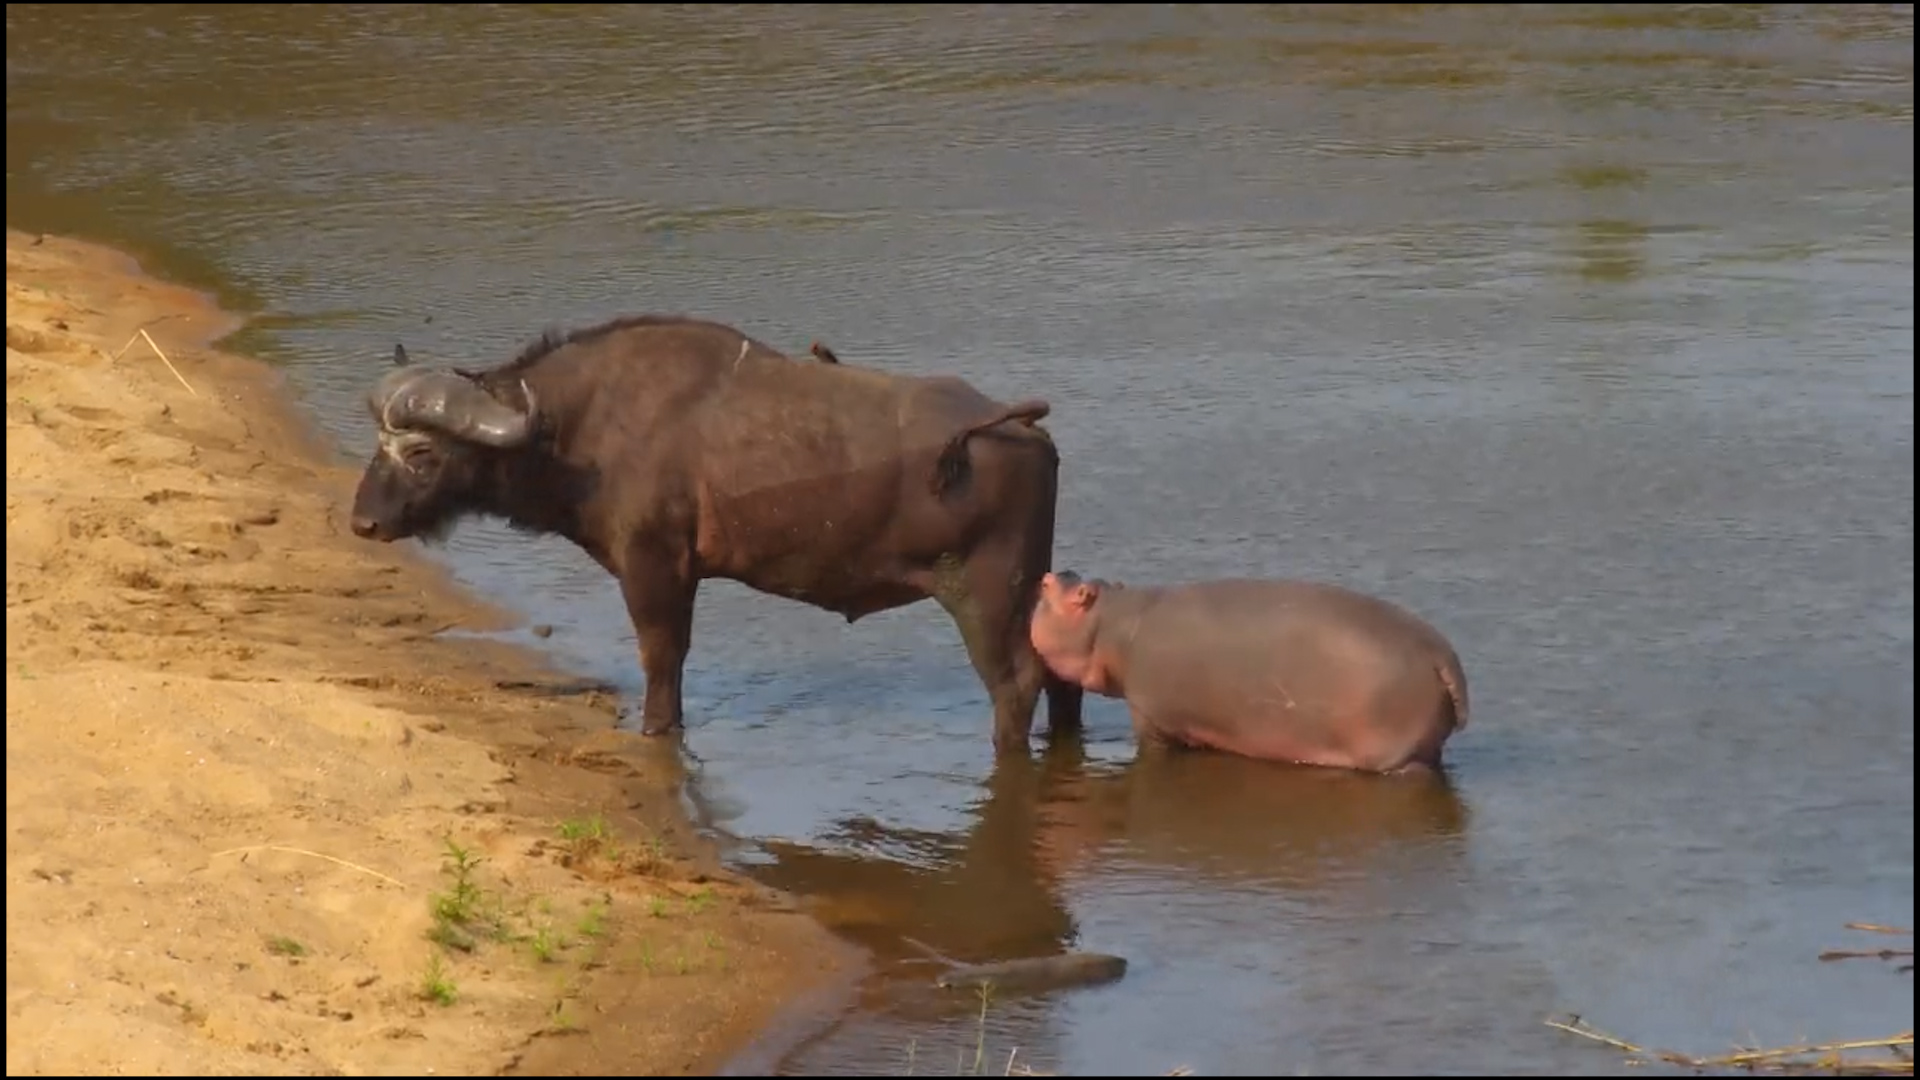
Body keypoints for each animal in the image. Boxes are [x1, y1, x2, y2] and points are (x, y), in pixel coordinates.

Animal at [348, 314, 1084, 754]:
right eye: (378, 442)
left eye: (422, 453)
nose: (362, 521)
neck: (583, 424)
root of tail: (1018, 427)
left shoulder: (654, 566)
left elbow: (661, 658)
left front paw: (656, 730)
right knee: (1060, 673)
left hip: (985, 597)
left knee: (1017, 682)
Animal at [1027, 570, 1470, 774]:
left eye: (1047, 587)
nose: (1056, 572)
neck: (1111, 623)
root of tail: (1440, 654)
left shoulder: (1150, 716)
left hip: (1396, 756)